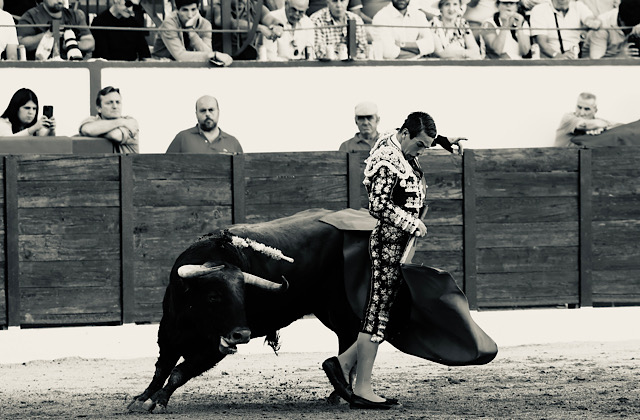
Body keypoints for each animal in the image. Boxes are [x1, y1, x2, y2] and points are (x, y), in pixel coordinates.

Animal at [127, 208, 362, 413]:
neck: (192, 316)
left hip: (341, 308)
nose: (242, 335)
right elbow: (162, 369)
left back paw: (341, 393)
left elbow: (179, 372)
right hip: (327, 310)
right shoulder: (169, 333)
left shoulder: (212, 350)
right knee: (346, 338)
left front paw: (159, 401)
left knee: (349, 337)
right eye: (213, 296)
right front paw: (142, 398)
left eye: (244, 297)